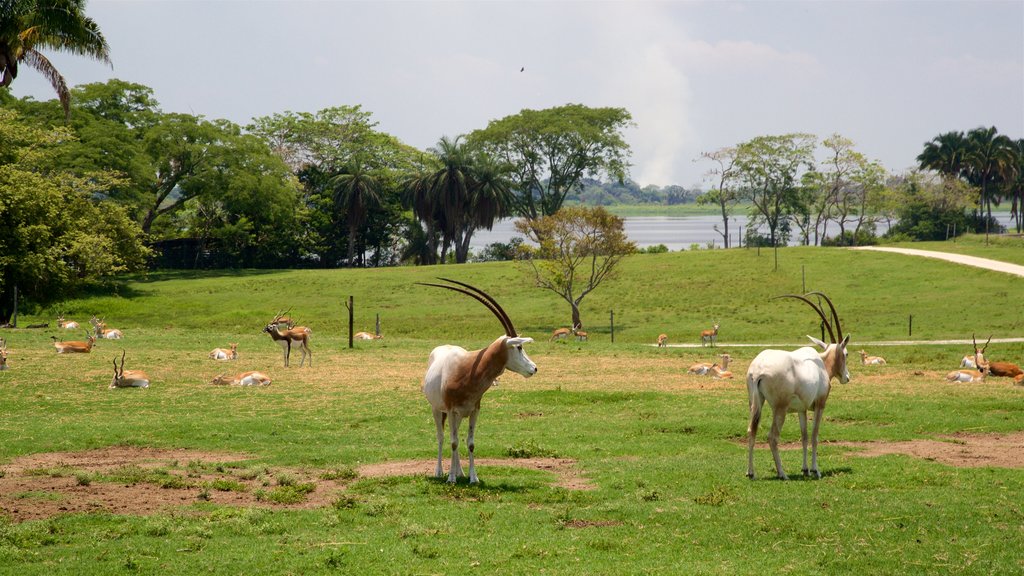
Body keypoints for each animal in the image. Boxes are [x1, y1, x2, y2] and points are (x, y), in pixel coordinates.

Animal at [417, 276, 540, 481]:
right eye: (519, 347)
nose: (534, 368)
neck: (468, 370)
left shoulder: (474, 410)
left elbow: (469, 442)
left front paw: (473, 478)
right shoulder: (451, 410)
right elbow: (453, 442)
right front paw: (451, 478)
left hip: (459, 415)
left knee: (455, 436)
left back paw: (459, 471)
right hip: (438, 409)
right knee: (442, 437)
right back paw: (440, 472)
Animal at [749, 291, 851, 479]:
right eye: (846, 354)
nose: (847, 377)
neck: (821, 363)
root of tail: (758, 370)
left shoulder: (801, 410)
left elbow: (804, 436)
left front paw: (805, 469)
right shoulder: (820, 404)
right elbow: (814, 435)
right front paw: (816, 470)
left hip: (754, 403)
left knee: (752, 430)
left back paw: (751, 473)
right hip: (780, 409)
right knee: (772, 437)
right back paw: (782, 474)